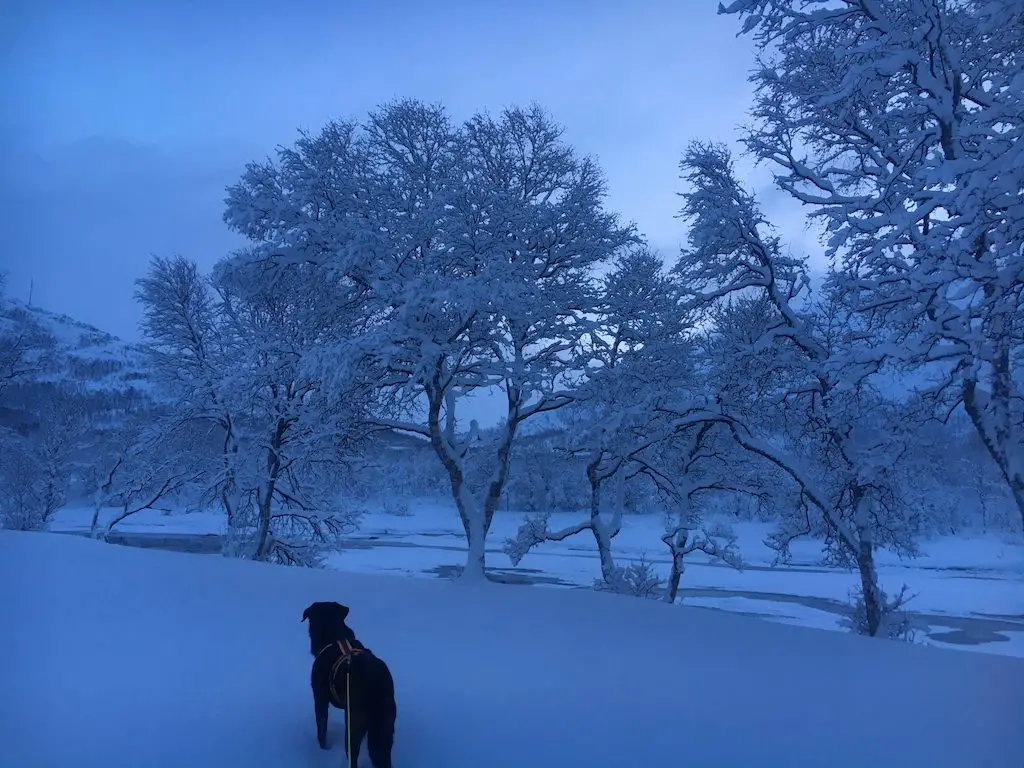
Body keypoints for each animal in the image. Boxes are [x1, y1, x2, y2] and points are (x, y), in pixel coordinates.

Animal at [299, 606, 395, 765]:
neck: (335, 638)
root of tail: (376, 687)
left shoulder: (319, 698)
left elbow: (321, 729)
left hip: (353, 725)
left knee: (353, 755)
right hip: (385, 727)